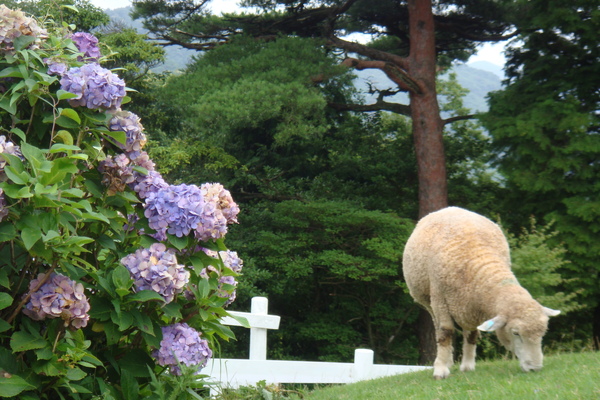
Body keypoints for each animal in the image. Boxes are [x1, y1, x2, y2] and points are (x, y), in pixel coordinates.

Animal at [400, 208, 560, 380]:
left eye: (543, 333)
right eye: (516, 333)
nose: (535, 369)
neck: (478, 258)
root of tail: (449, 208)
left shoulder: (473, 304)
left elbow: (472, 333)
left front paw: (468, 366)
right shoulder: (440, 298)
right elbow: (446, 333)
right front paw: (440, 371)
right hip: (429, 302)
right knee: (438, 328)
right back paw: (446, 361)